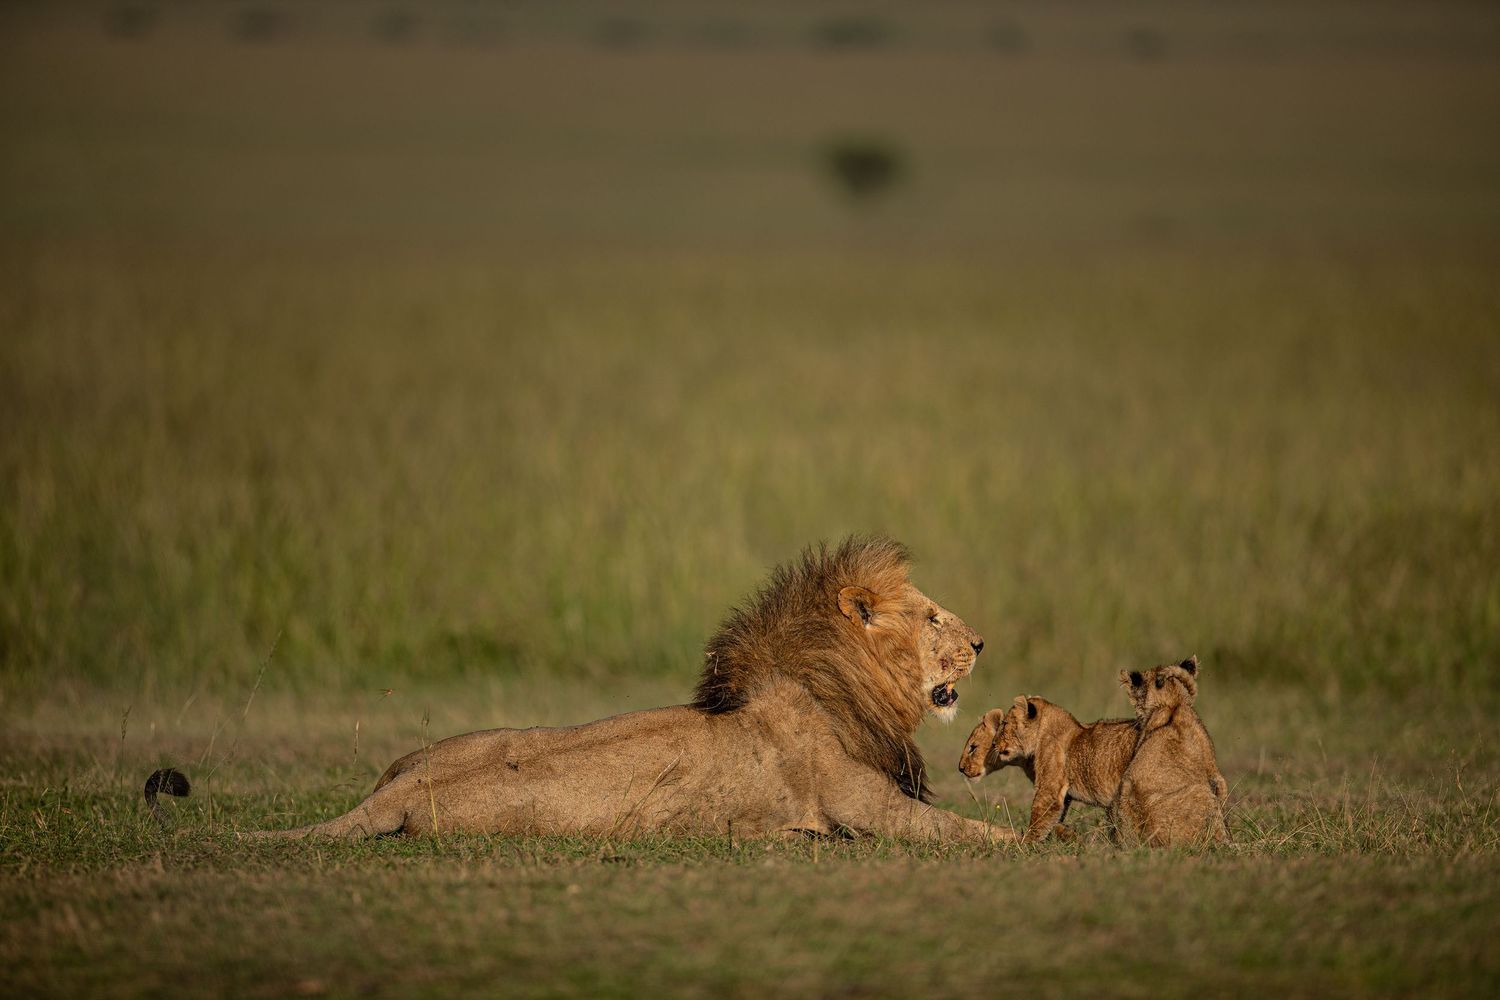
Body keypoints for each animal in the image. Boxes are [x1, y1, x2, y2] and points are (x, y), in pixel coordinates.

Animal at [154, 537, 1011, 843]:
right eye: (932, 616)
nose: (979, 642)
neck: (827, 680)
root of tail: (392, 795)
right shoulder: (862, 804)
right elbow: (967, 833)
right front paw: (1034, 847)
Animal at [958, 696, 1138, 842]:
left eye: (972, 748)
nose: (960, 768)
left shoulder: (1049, 788)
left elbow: (1041, 817)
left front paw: (1023, 845)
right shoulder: (1062, 793)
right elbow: (1055, 818)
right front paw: (1066, 834)